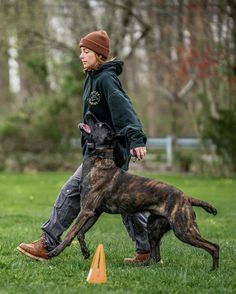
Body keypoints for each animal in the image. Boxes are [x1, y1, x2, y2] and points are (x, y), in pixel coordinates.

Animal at [48, 111, 220, 270]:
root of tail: (186, 197)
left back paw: (214, 269)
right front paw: (85, 252)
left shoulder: (86, 211)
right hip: (154, 227)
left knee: (214, 246)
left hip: (184, 230)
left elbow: (71, 233)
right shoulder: (93, 212)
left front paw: (55, 252)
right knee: (155, 255)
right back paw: (142, 265)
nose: (89, 112)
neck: (100, 160)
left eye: (99, 124)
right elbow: (81, 233)